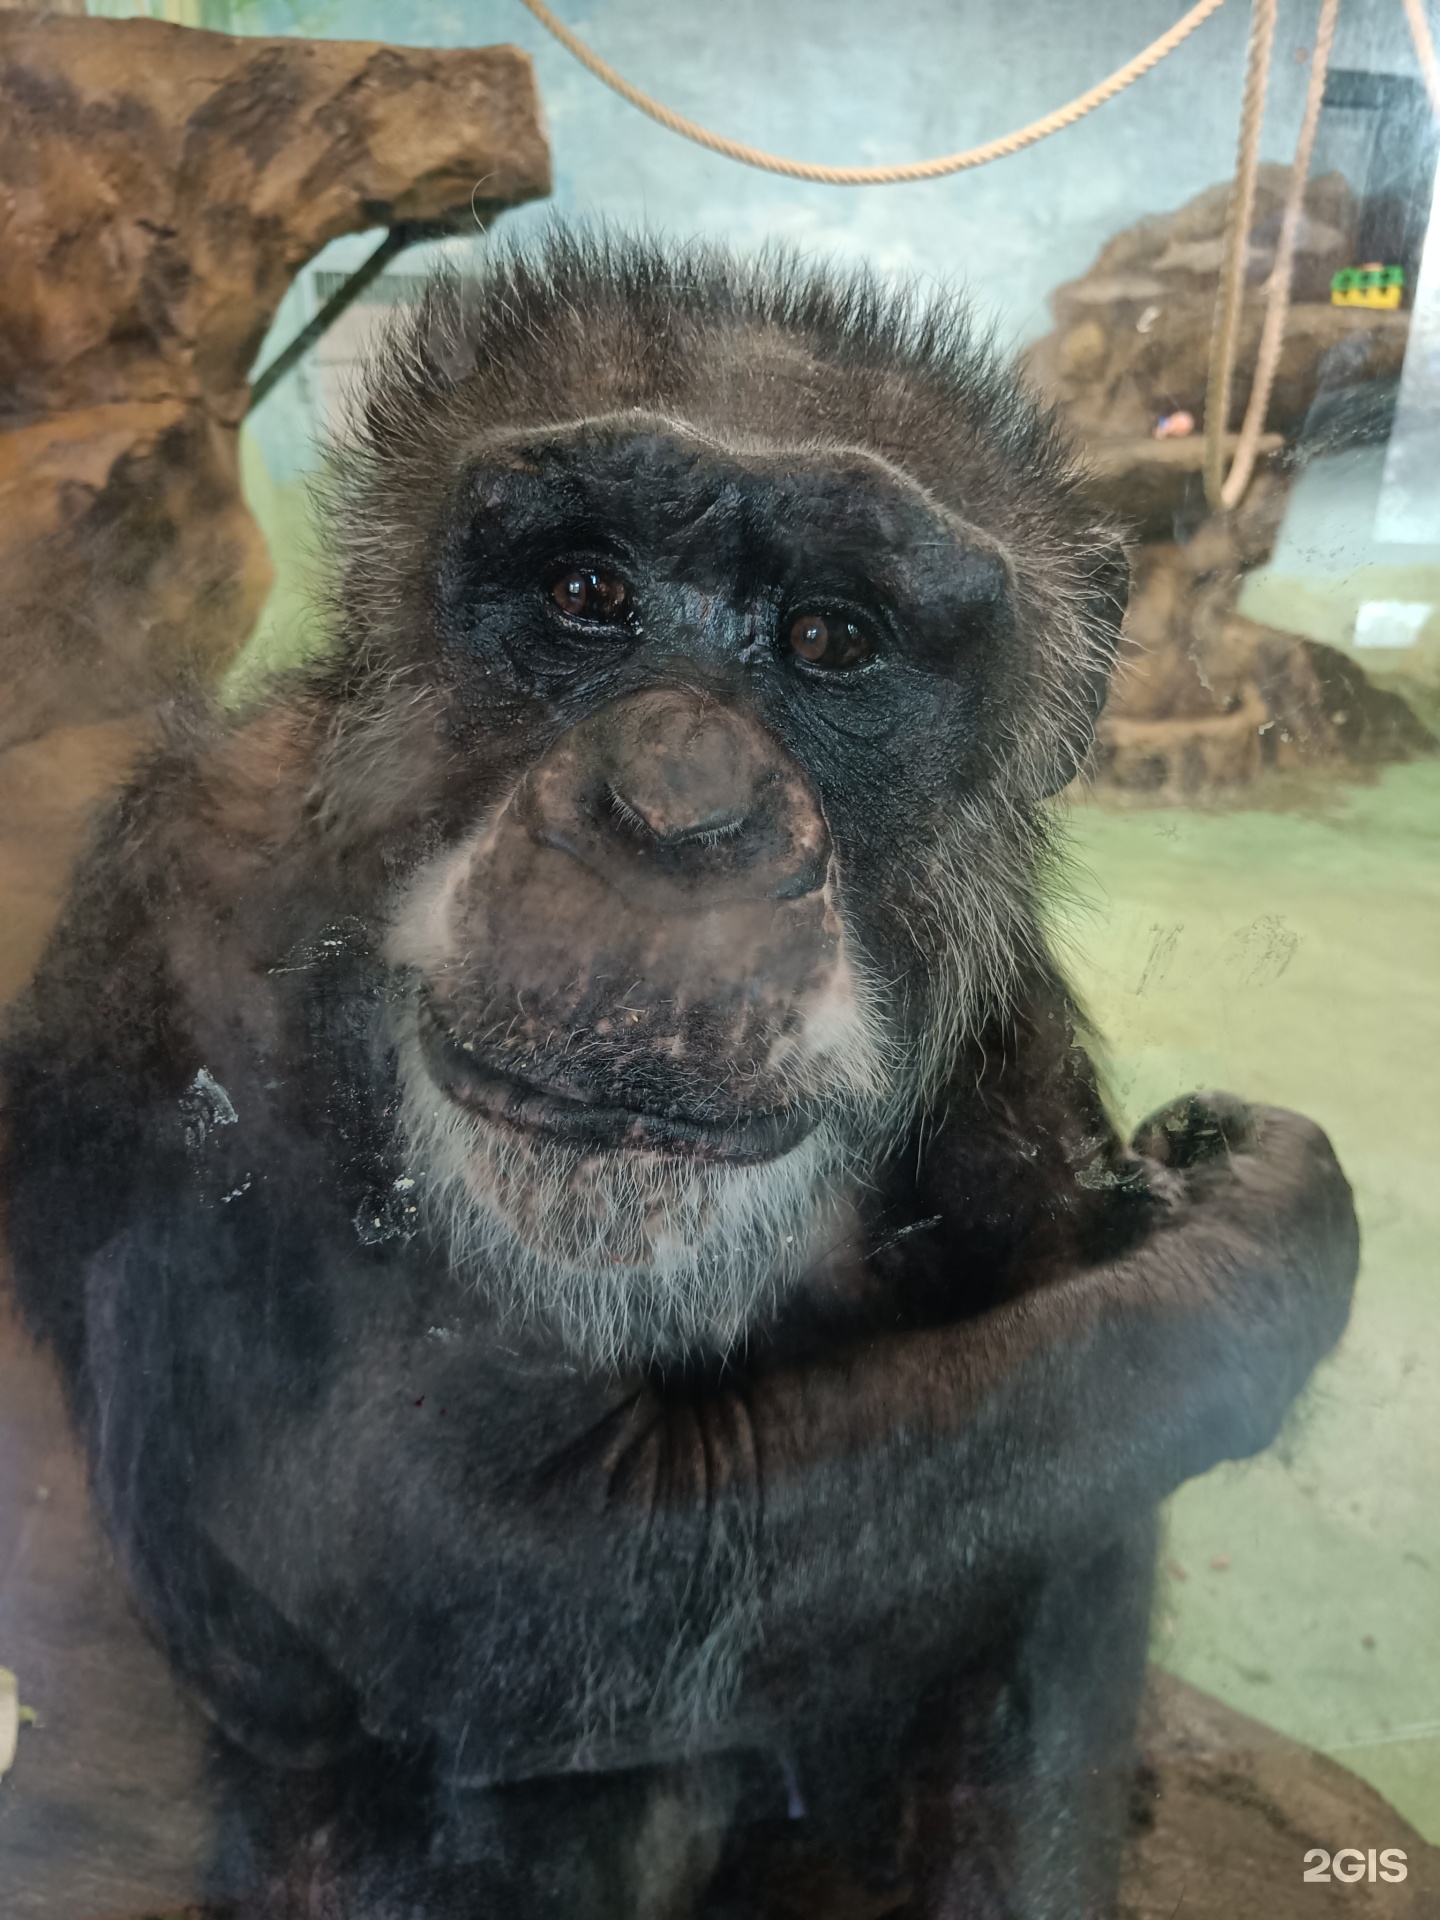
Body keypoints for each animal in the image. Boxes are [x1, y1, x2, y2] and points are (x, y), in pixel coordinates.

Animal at [2, 240, 1367, 1920]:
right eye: (589, 593)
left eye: (833, 638)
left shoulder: (1007, 1022)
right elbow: (475, 1558)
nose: (677, 804)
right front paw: (1252, 1245)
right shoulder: (201, 909)